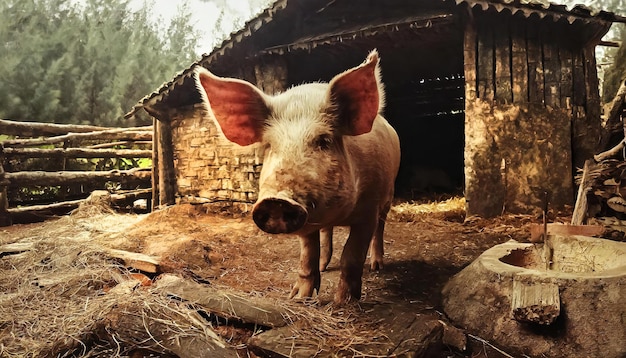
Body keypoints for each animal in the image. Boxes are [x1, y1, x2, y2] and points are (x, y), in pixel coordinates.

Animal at [194, 49, 400, 302]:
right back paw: (324, 266)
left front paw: (343, 302)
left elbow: (351, 256)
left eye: (324, 141)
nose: (277, 201)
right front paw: (298, 297)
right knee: (326, 234)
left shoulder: (368, 209)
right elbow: (307, 255)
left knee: (381, 226)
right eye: (269, 146)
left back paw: (377, 266)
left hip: (389, 193)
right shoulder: (308, 221)